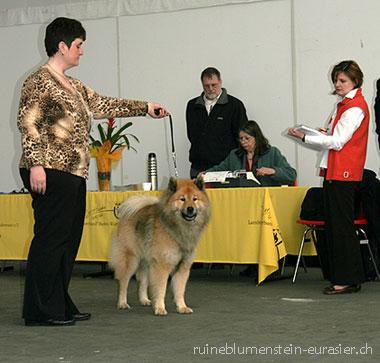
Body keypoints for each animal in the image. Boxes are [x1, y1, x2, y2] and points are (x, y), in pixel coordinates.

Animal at [109, 178, 211, 318]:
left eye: (195, 199)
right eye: (182, 199)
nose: (190, 209)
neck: (177, 228)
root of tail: (129, 214)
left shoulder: (183, 267)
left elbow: (180, 290)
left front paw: (182, 307)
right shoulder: (162, 265)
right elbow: (161, 289)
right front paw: (160, 308)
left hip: (146, 261)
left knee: (142, 281)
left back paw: (144, 300)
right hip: (131, 259)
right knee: (123, 282)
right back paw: (122, 303)